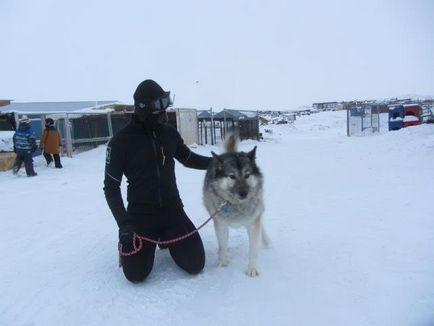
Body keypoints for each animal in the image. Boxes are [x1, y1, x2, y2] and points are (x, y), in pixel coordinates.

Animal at [203, 134, 268, 276]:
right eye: (232, 176)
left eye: (247, 175)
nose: (244, 193)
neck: (236, 205)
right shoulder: (220, 223)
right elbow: (222, 244)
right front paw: (222, 263)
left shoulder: (253, 223)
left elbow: (253, 250)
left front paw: (252, 269)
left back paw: (266, 242)